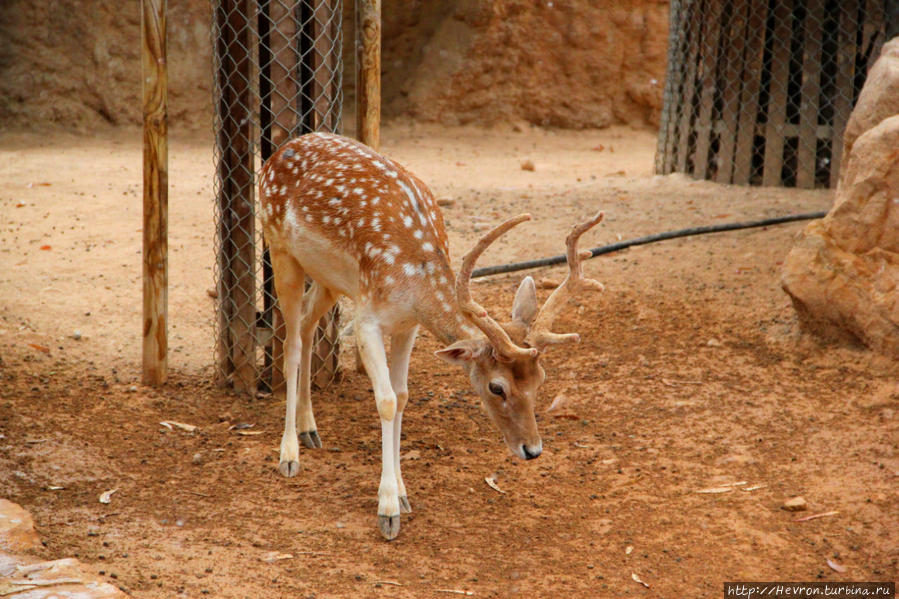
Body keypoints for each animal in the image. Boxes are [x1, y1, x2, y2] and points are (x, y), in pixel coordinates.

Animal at [256, 132, 600, 544]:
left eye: (541, 380)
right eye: (496, 387)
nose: (532, 449)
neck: (414, 280)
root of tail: (276, 152)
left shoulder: (408, 325)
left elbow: (403, 396)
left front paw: (404, 496)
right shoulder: (368, 319)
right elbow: (387, 400)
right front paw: (388, 509)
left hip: (328, 277)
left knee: (308, 323)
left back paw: (310, 429)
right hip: (279, 248)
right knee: (290, 343)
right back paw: (289, 453)